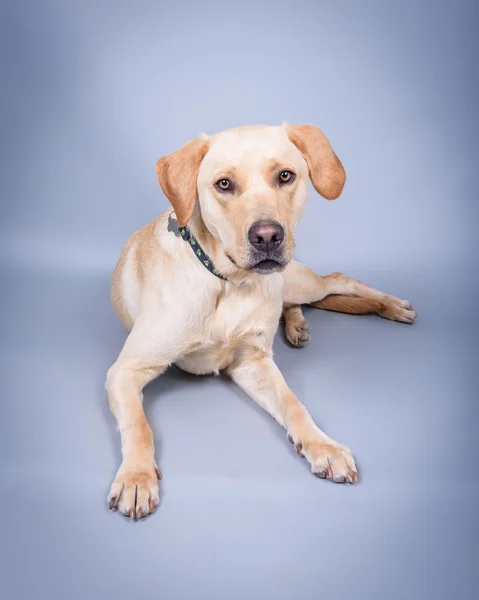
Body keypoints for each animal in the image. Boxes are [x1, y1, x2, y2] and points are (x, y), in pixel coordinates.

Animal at [105, 120, 416, 516]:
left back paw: (390, 305)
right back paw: (299, 326)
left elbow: (294, 405)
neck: (227, 283)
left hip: (299, 281)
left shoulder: (252, 363)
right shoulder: (126, 370)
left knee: (337, 280)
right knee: (303, 298)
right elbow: (138, 424)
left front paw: (323, 446)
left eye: (285, 176)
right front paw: (136, 476)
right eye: (224, 184)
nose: (267, 236)